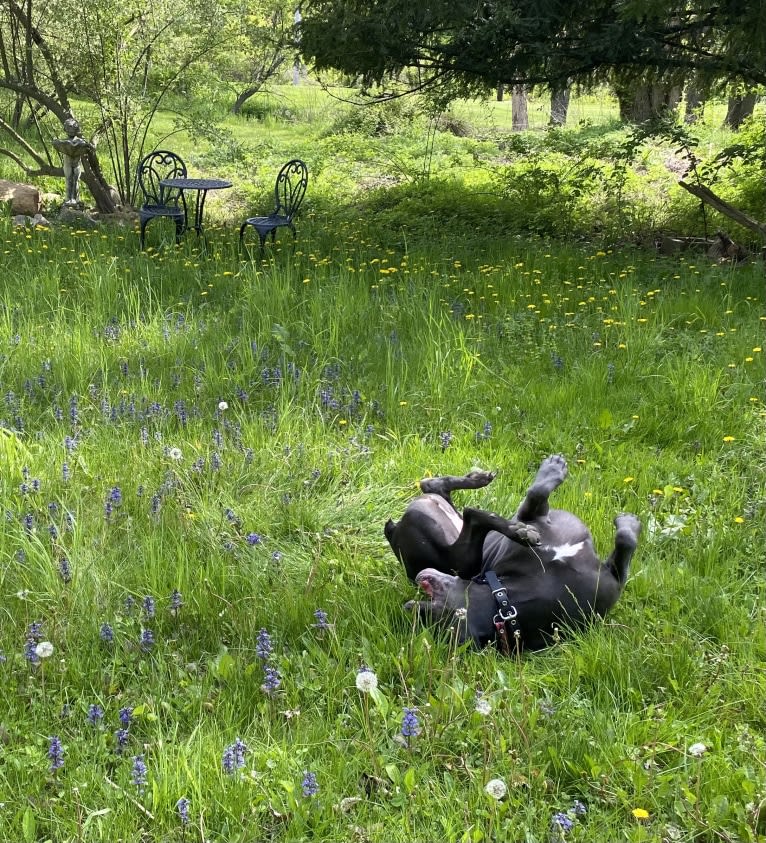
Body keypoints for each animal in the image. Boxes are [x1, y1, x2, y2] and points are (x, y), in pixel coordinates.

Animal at [384, 458, 640, 648]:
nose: (409, 607)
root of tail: (392, 531)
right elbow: (535, 495)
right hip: (456, 553)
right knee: (471, 514)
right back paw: (519, 531)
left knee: (434, 487)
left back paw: (477, 479)